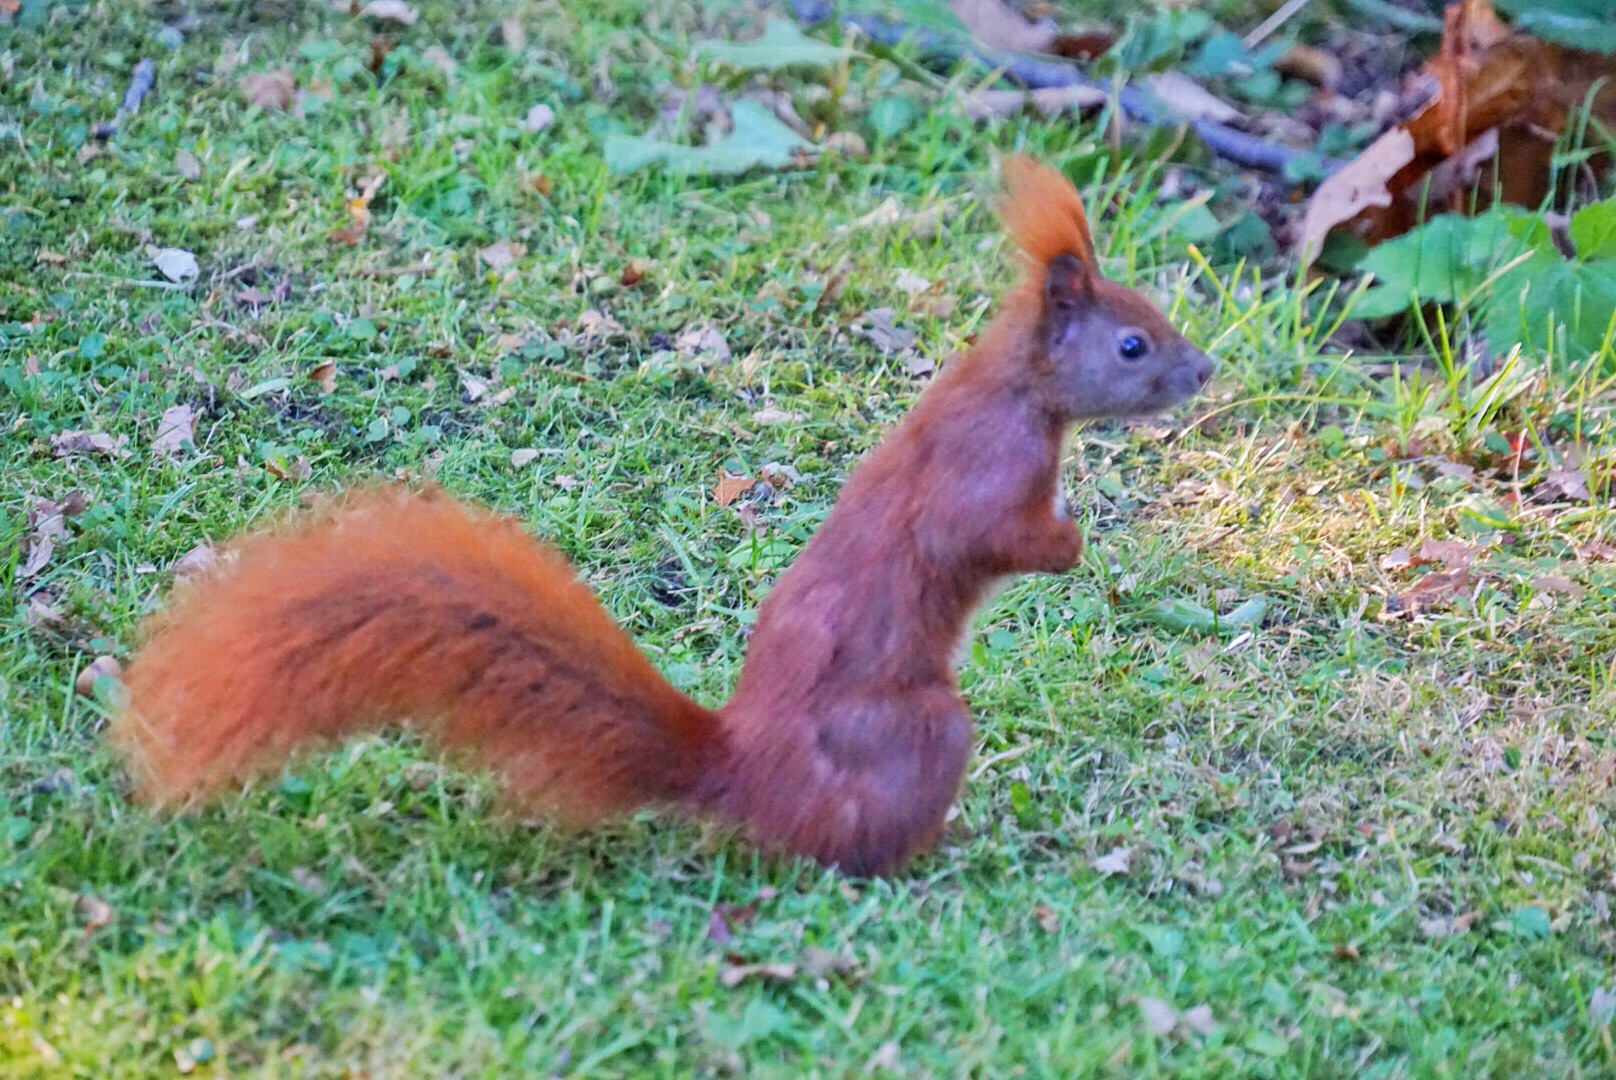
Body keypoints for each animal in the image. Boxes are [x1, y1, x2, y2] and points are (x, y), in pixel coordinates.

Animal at [113, 156, 1215, 873]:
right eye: (1130, 345)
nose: (1203, 369)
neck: (1012, 390)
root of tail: (738, 770)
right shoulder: (981, 471)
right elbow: (979, 535)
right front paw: (1069, 542)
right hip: (915, 729)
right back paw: (932, 853)